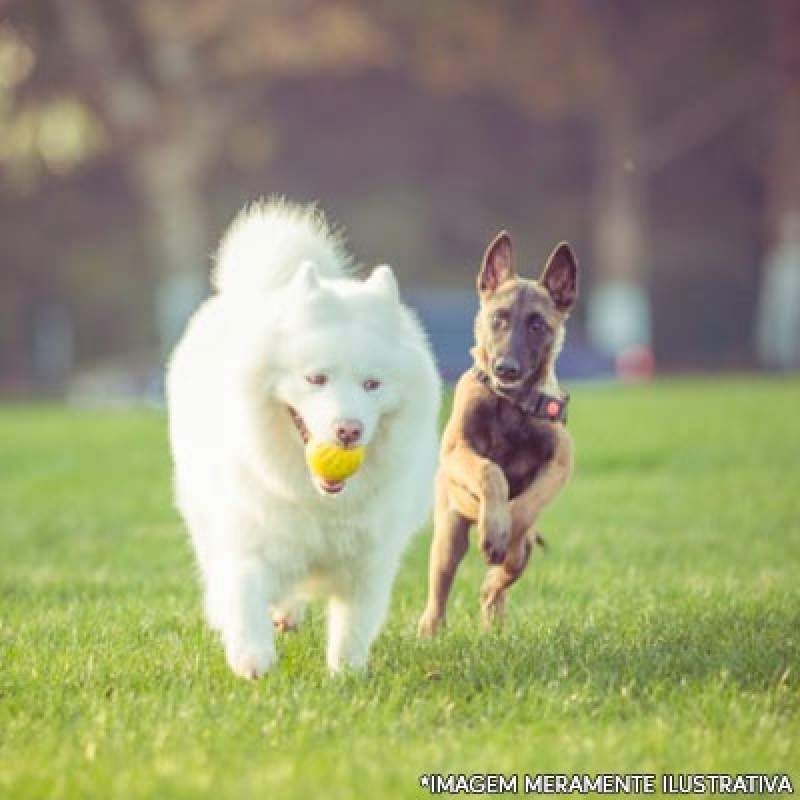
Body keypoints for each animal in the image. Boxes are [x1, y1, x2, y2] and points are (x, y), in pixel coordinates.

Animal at [166, 198, 440, 676]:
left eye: (372, 384)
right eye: (316, 378)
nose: (348, 430)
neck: (320, 502)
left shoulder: (368, 566)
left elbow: (352, 629)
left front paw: (345, 676)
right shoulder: (248, 541)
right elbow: (243, 594)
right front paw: (252, 657)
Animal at [416, 233, 580, 636]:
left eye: (537, 325)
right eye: (498, 319)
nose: (506, 368)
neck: (511, 404)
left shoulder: (561, 462)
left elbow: (526, 506)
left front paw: (503, 530)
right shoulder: (458, 450)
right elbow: (491, 471)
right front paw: (495, 524)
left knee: (499, 583)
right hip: (448, 535)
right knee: (439, 590)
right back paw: (429, 632)